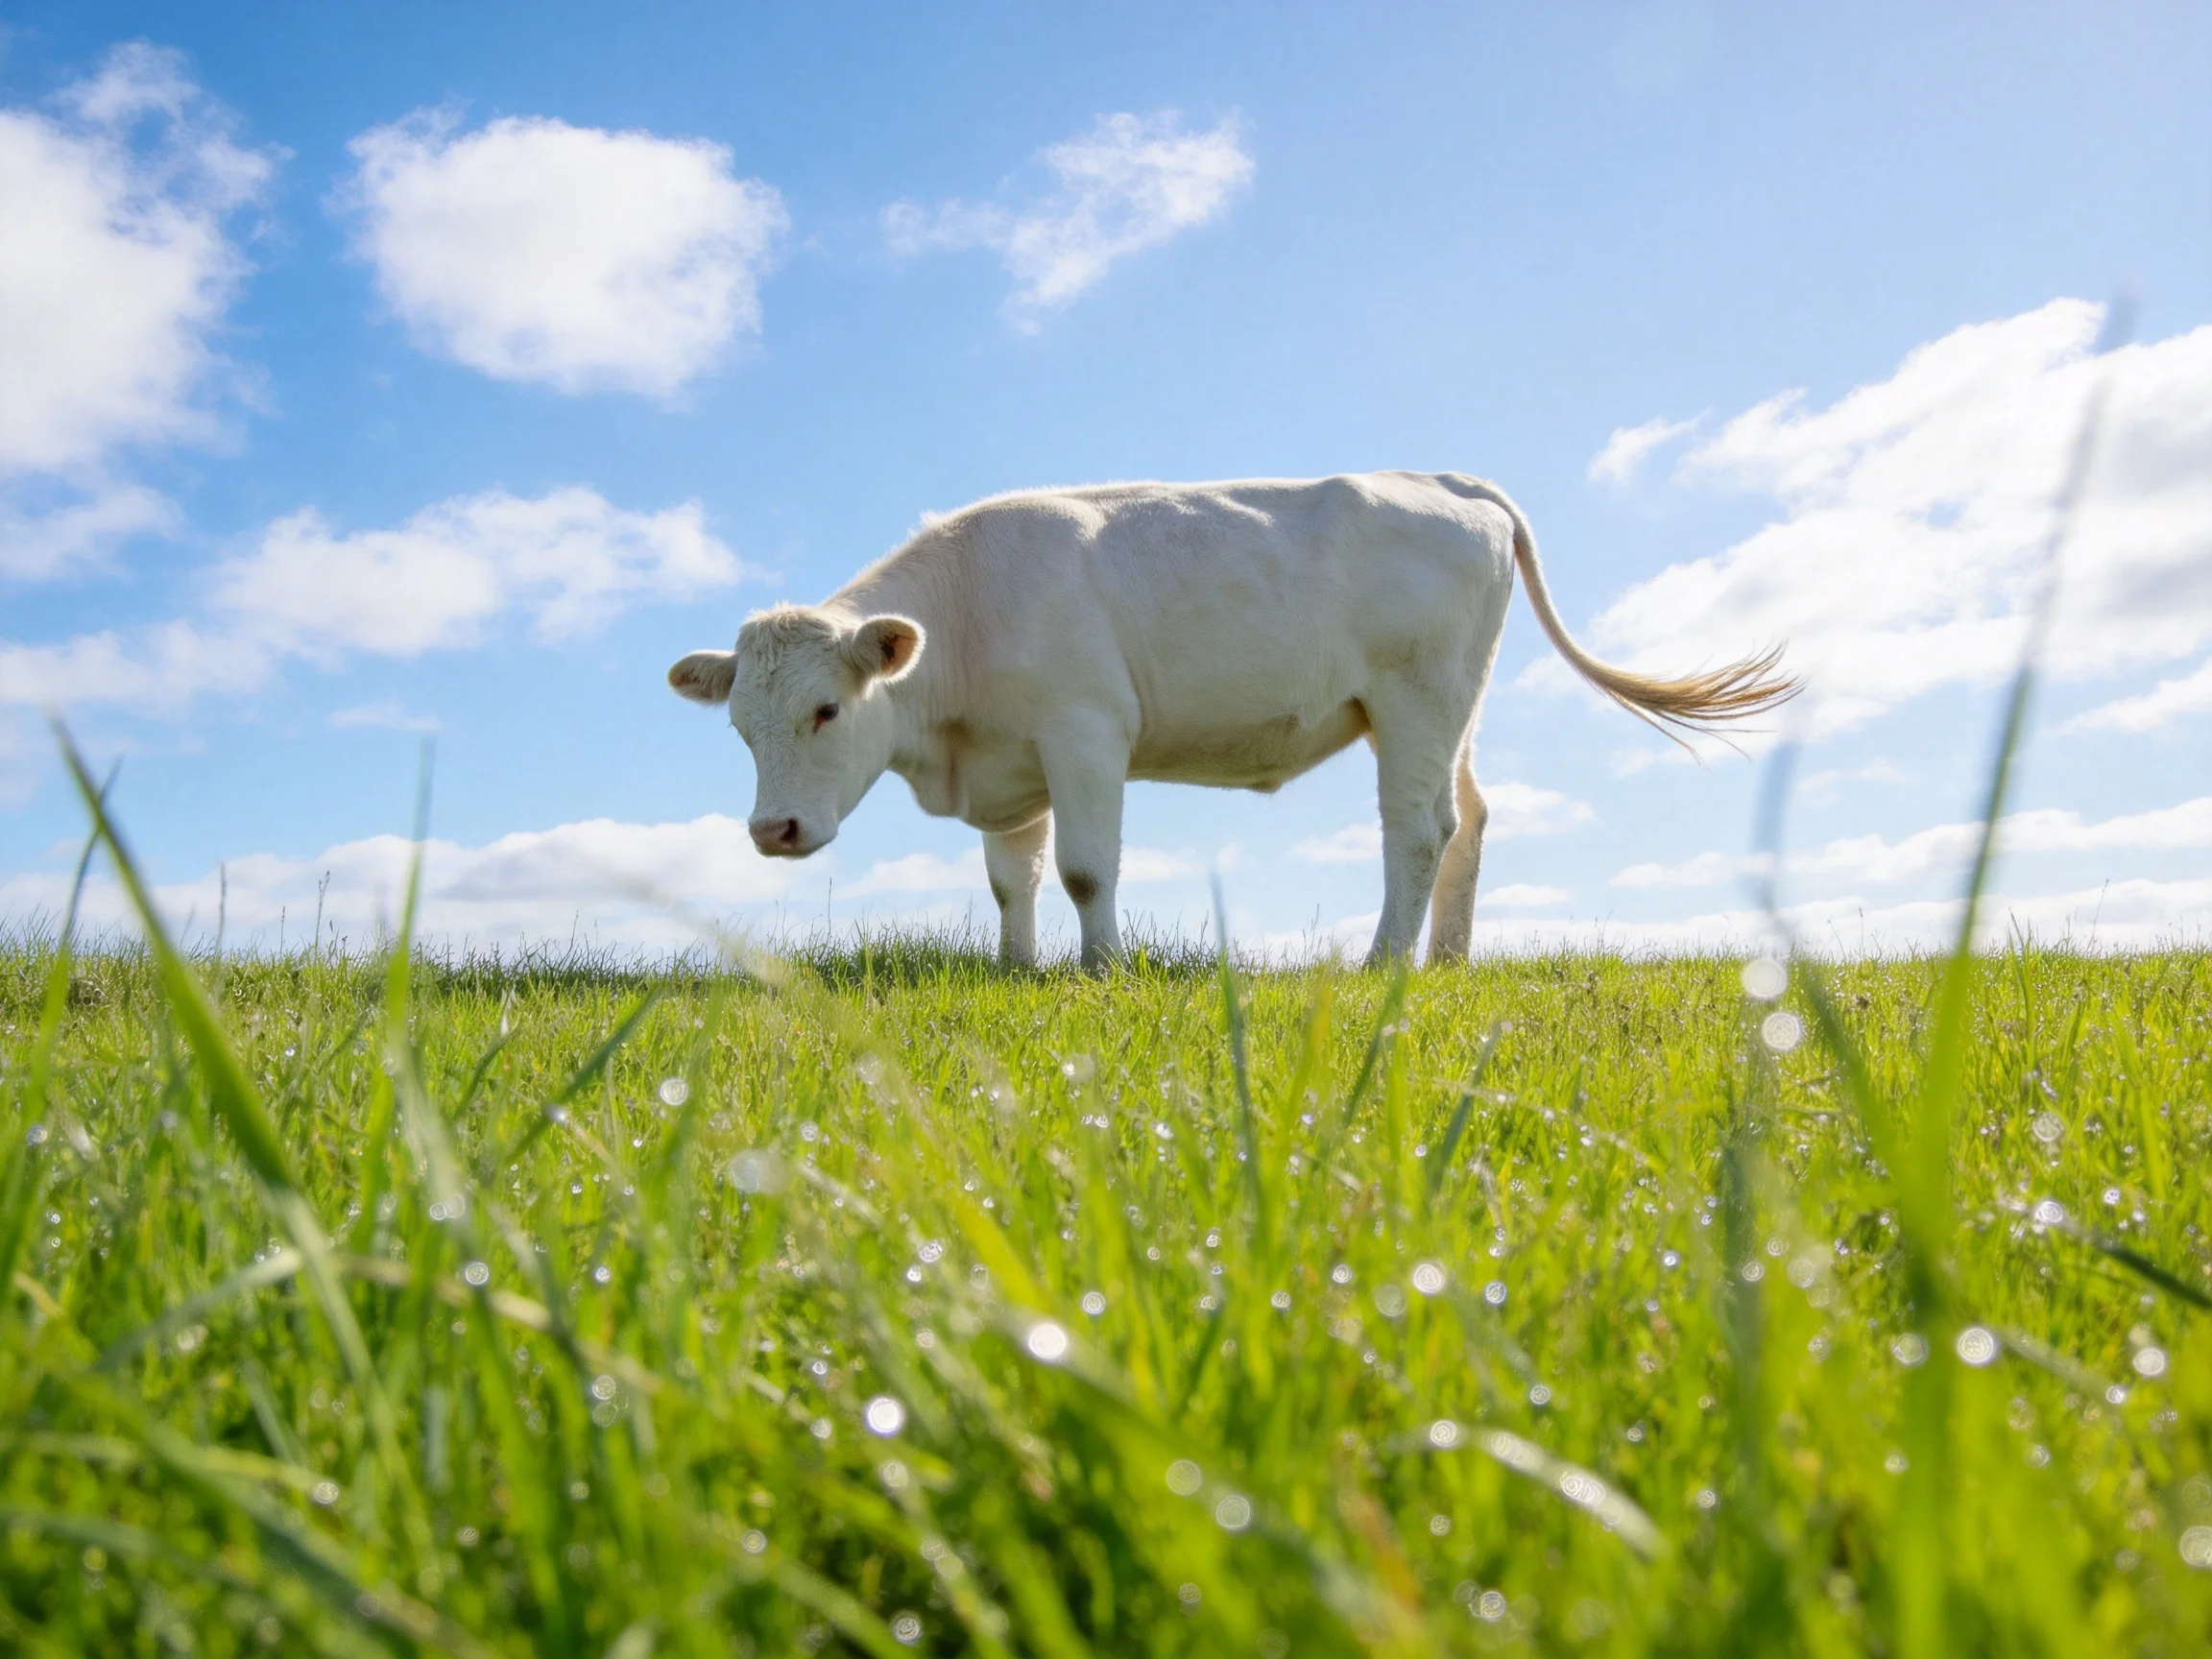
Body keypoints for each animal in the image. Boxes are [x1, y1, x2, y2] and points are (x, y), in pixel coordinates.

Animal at [669, 471, 1796, 969]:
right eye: (741, 730)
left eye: (825, 709)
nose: (773, 831)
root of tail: (1444, 479)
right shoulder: (1010, 772)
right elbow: (1010, 884)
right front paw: (1016, 971)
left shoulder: (1086, 734)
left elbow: (1086, 871)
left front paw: (1102, 973)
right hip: (1452, 709)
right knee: (1470, 820)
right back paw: (1447, 961)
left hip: (1416, 696)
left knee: (1417, 830)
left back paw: (1384, 964)